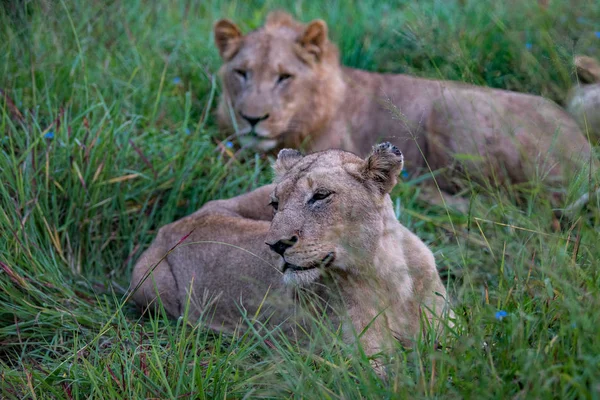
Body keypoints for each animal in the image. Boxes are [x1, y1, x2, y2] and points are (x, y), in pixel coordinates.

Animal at [130, 143, 450, 356]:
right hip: (150, 285)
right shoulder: (359, 363)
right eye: (276, 203)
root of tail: (169, 227)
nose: (275, 245)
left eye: (320, 196)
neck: (387, 273)